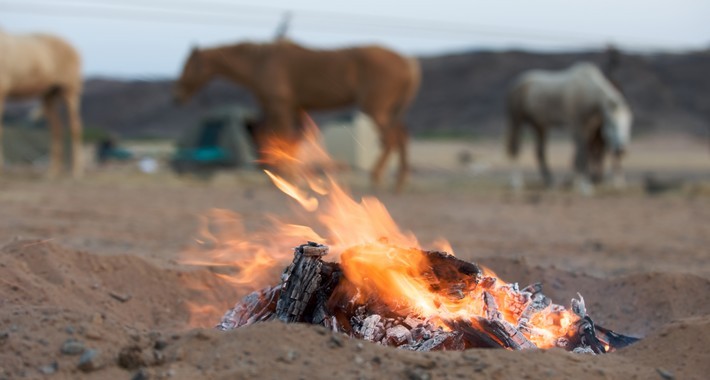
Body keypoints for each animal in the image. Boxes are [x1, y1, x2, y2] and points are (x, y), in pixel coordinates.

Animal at [0, 30, 85, 178]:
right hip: (49, 94)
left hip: (69, 91)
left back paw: (76, 171)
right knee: (57, 128)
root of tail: (74, 49)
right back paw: (53, 171)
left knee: (75, 126)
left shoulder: (2, 90)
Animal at [175, 40, 420, 193]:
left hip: (376, 108)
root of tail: (408, 62)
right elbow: (288, 141)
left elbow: (282, 138)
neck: (262, 62)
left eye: (187, 65)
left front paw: (286, 177)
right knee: (402, 136)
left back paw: (377, 179)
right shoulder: (294, 109)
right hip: (389, 110)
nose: (177, 95)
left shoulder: (280, 106)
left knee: (391, 139)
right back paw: (400, 182)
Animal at [506, 63, 636, 193]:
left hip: (539, 125)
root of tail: (517, 83)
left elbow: (581, 153)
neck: (589, 92)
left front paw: (578, 183)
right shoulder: (577, 125)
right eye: (612, 124)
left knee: (540, 152)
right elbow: (582, 154)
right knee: (515, 148)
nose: (621, 149)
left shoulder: (589, 128)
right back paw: (516, 182)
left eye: (628, 125)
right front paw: (585, 186)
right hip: (516, 120)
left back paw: (550, 181)